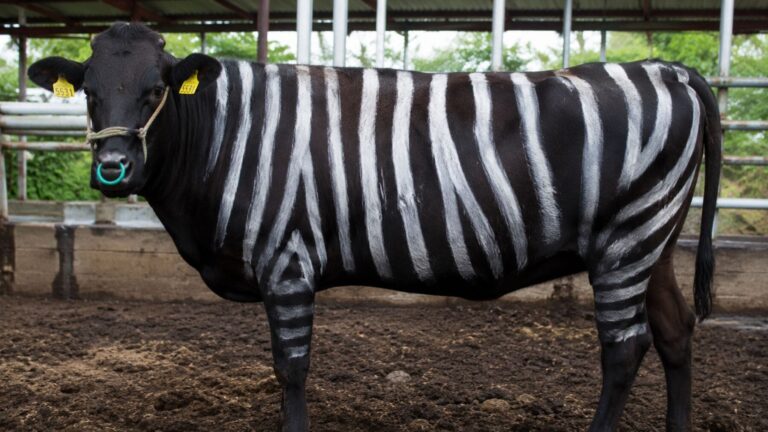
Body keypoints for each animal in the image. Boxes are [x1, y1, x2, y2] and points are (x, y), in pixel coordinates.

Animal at [28, 22, 720, 432]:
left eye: (156, 91)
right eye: (88, 93)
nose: (112, 170)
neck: (227, 137)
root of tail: (665, 67)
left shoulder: (286, 259)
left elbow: (290, 367)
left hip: (626, 240)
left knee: (624, 349)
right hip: (654, 240)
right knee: (675, 332)